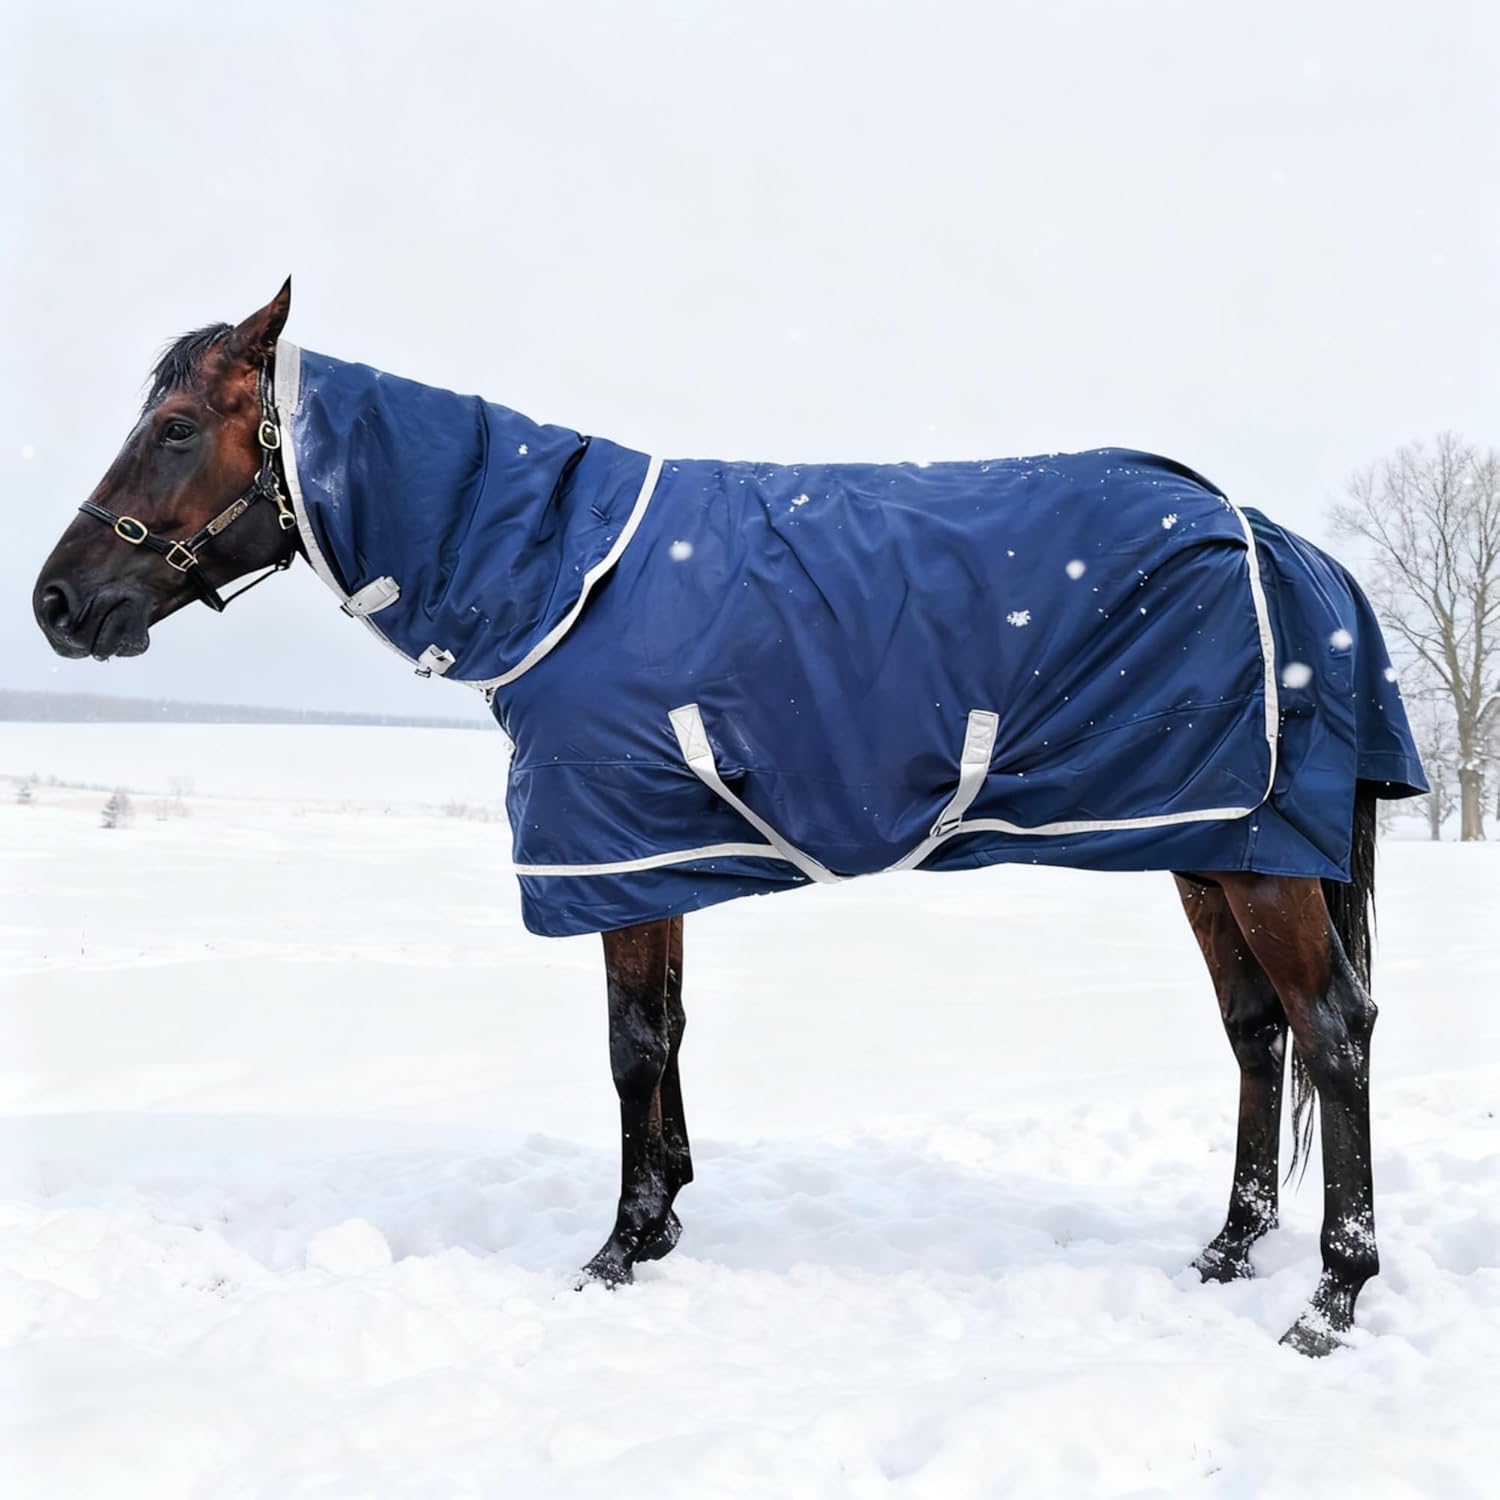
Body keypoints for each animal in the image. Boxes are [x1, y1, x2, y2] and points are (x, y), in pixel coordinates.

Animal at [33, 281, 1426, 1355]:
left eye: (172, 427)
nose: (57, 603)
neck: (551, 570)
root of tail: (1283, 542)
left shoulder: (612, 849)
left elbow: (631, 1046)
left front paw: (614, 1248)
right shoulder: (659, 855)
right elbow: (668, 1033)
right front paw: (662, 1221)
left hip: (1257, 860)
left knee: (1334, 1030)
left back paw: (1331, 1299)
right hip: (1213, 846)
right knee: (1257, 1031)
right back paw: (1229, 1247)